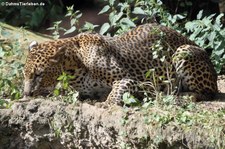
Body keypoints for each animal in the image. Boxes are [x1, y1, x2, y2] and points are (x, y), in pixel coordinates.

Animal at [22, 23, 218, 105]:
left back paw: (182, 95)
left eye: (39, 74)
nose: (26, 94)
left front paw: (106, 102)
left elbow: (116, 91)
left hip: (184, 51)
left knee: (208, 93)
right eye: (25, 75)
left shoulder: (135, 80)